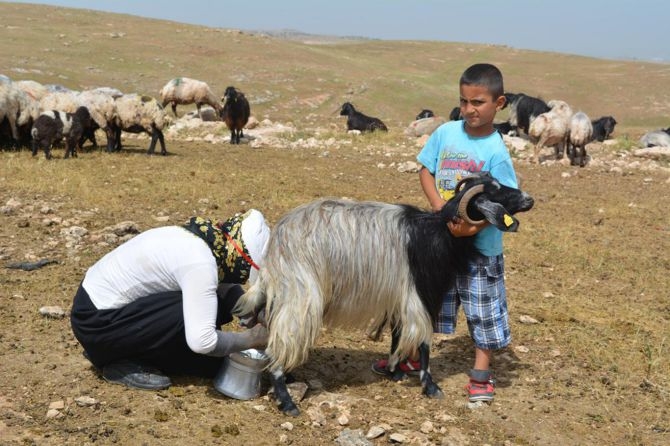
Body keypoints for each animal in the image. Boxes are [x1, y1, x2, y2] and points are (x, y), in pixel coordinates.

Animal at [234, 172, 540, 416]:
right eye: (495, 191)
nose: (529, 199)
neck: (438, 234)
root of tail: (276, 247)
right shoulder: (418, 295)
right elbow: (423, 341)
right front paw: (430, 386)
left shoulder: (397, 297)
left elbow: (397, 334)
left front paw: (395, 370)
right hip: (302, 297)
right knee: (282, 343)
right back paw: (287, 401)